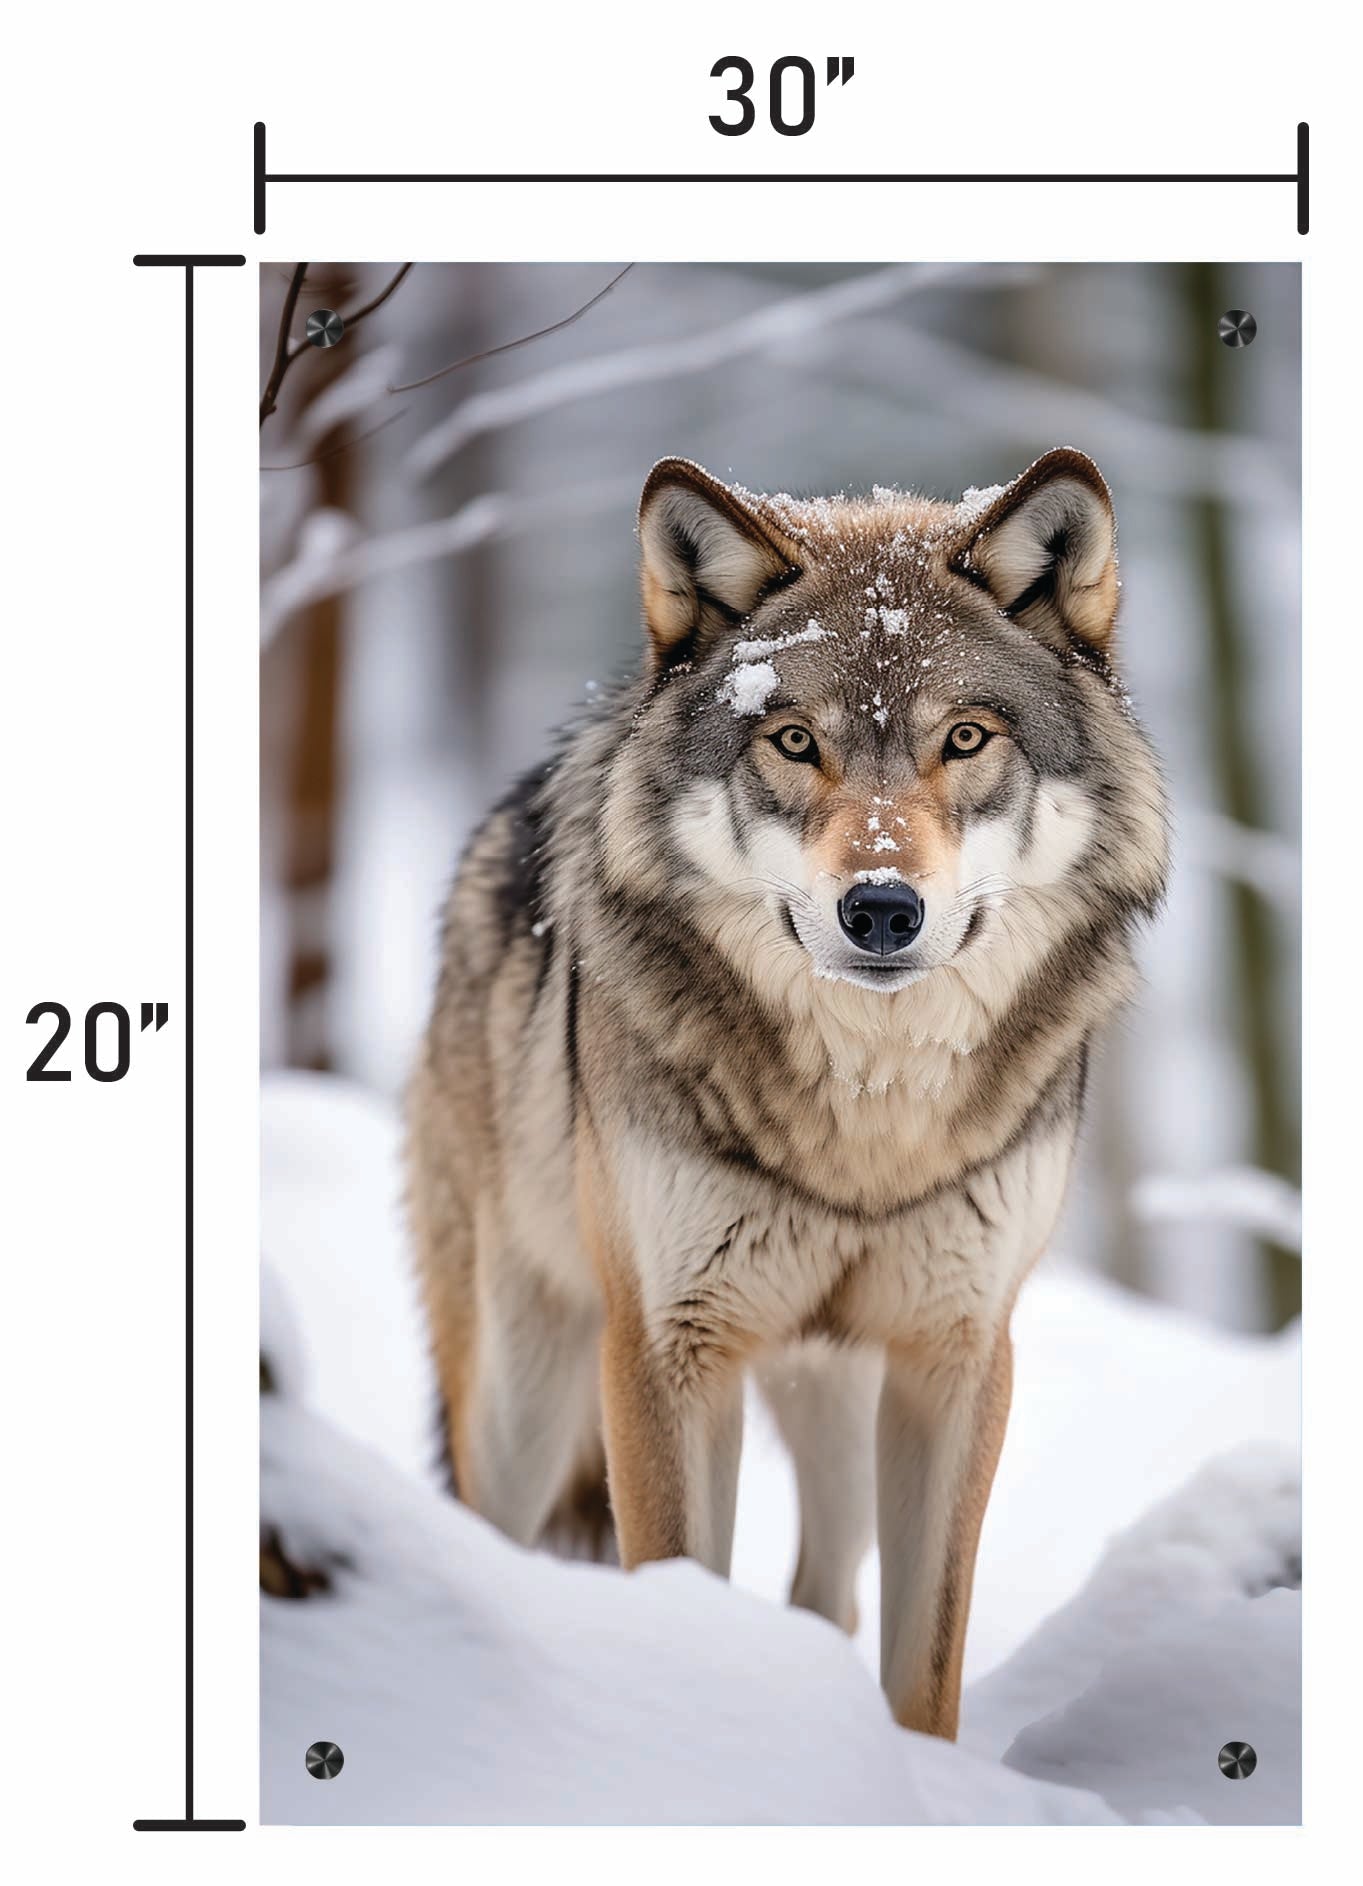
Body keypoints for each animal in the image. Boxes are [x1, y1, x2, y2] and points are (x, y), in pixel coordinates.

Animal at [406, 448, 1169, 1739]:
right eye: (796, 741)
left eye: (966, 737)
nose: (881, 908)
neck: (867, 1119)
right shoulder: (663, 1347)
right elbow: (675, 1590)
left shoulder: (957, 1354)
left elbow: (923, 1663)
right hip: (523, 1391)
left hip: (836, 1396)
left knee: (826, 1594)